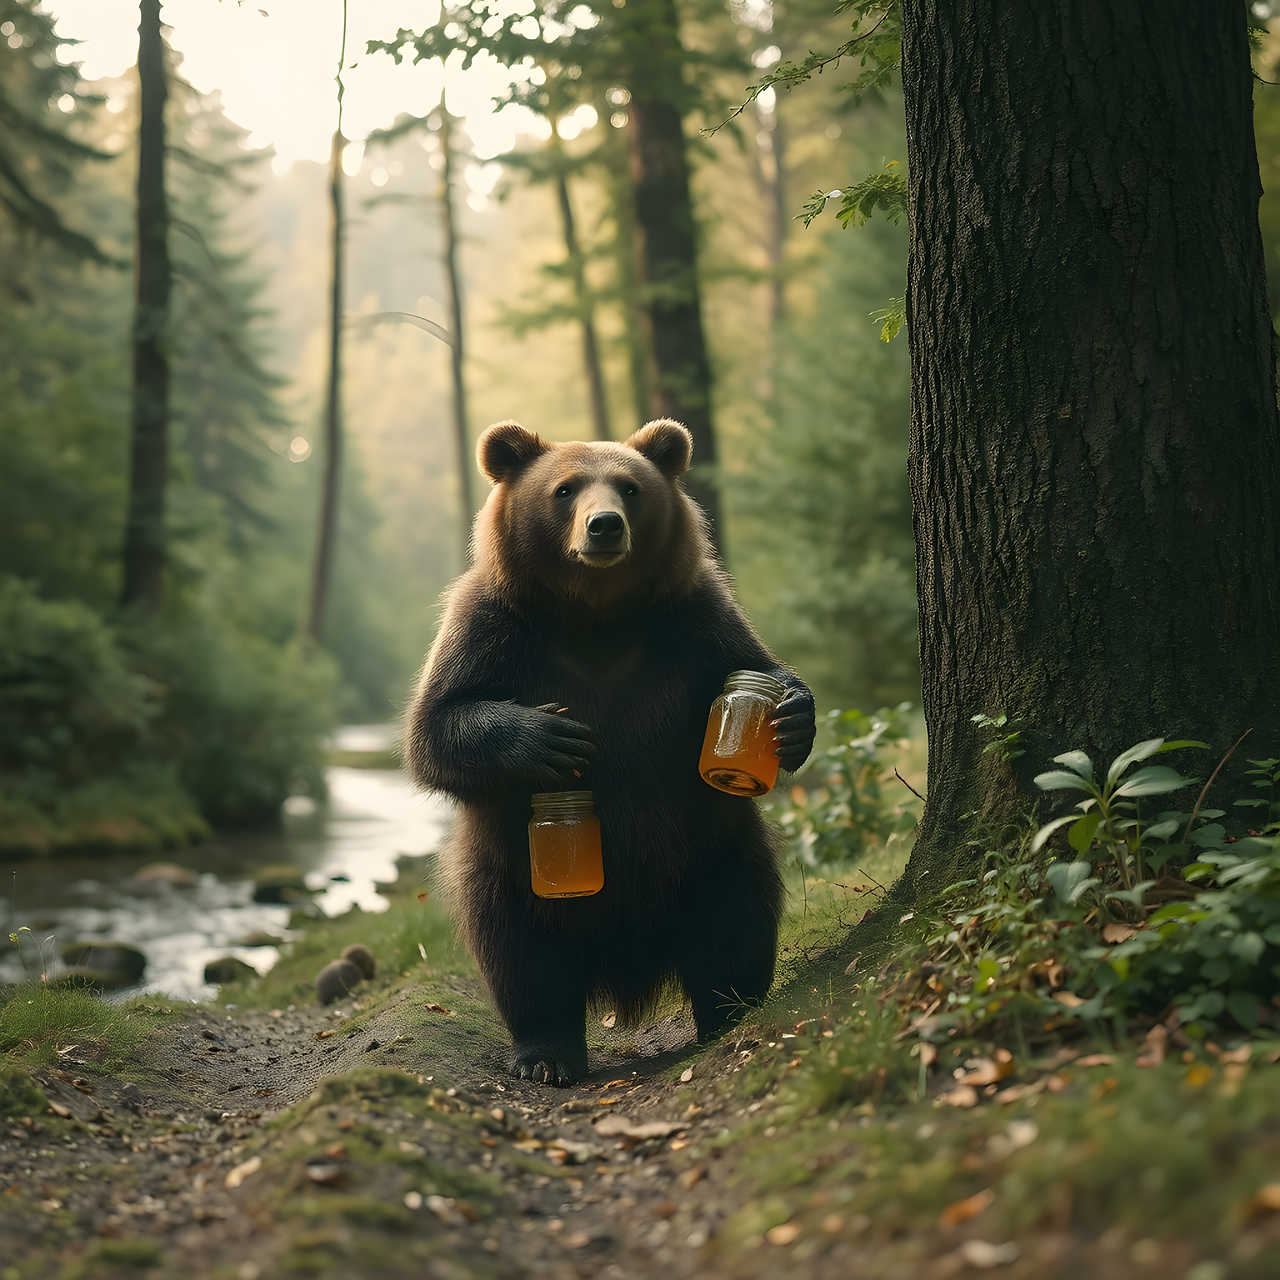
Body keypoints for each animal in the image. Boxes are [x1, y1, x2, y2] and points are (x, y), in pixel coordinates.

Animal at [404, 418, 816, 1085]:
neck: (594, 616)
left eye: (629, 487)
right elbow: (438, 724)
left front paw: (793, 716)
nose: (604, 526)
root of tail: (627, 973)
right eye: (565, 489)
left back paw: (728, 1011)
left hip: (712, 849)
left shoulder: (694, 619)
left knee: (735, 921)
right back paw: (546, 1052)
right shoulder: (491, 627)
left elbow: (756, 665)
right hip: (513, 872)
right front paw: (550, 738)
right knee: (521, 957)